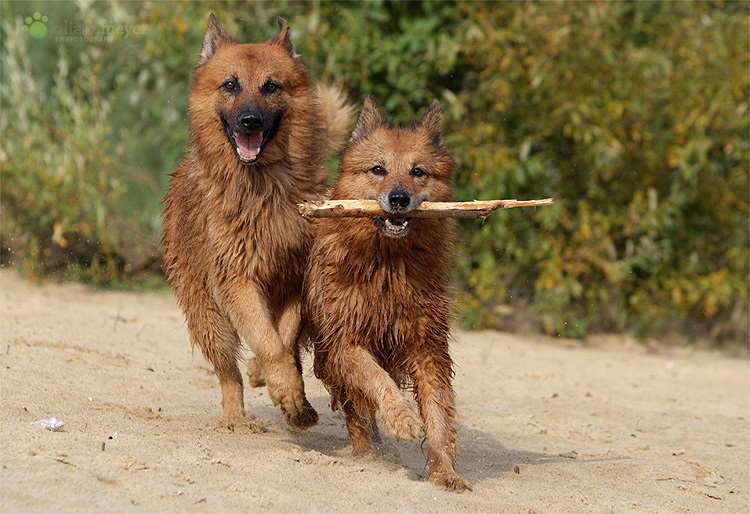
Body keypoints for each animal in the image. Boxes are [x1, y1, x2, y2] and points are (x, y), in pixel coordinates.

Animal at [163, 14, 352, 426]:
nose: (250, 121)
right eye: (230, 85)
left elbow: (283, 338)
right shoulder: (237, 281)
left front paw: (283, 387)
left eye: (271, 86)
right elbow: (268, 342)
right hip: (209, 316)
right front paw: (287, 391)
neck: (262, 189)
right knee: (227, 372)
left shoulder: (296, 278)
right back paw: (236, 418)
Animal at [304, 95, 470, 488]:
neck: (389, 265)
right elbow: (374, 378)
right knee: (355, 409)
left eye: (418, 172)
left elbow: (438, 413)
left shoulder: (427, 347)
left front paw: (445, 471)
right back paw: (367, 452)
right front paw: (402, 419)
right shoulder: (344, 340)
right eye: (378, 169)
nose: (398, 198)